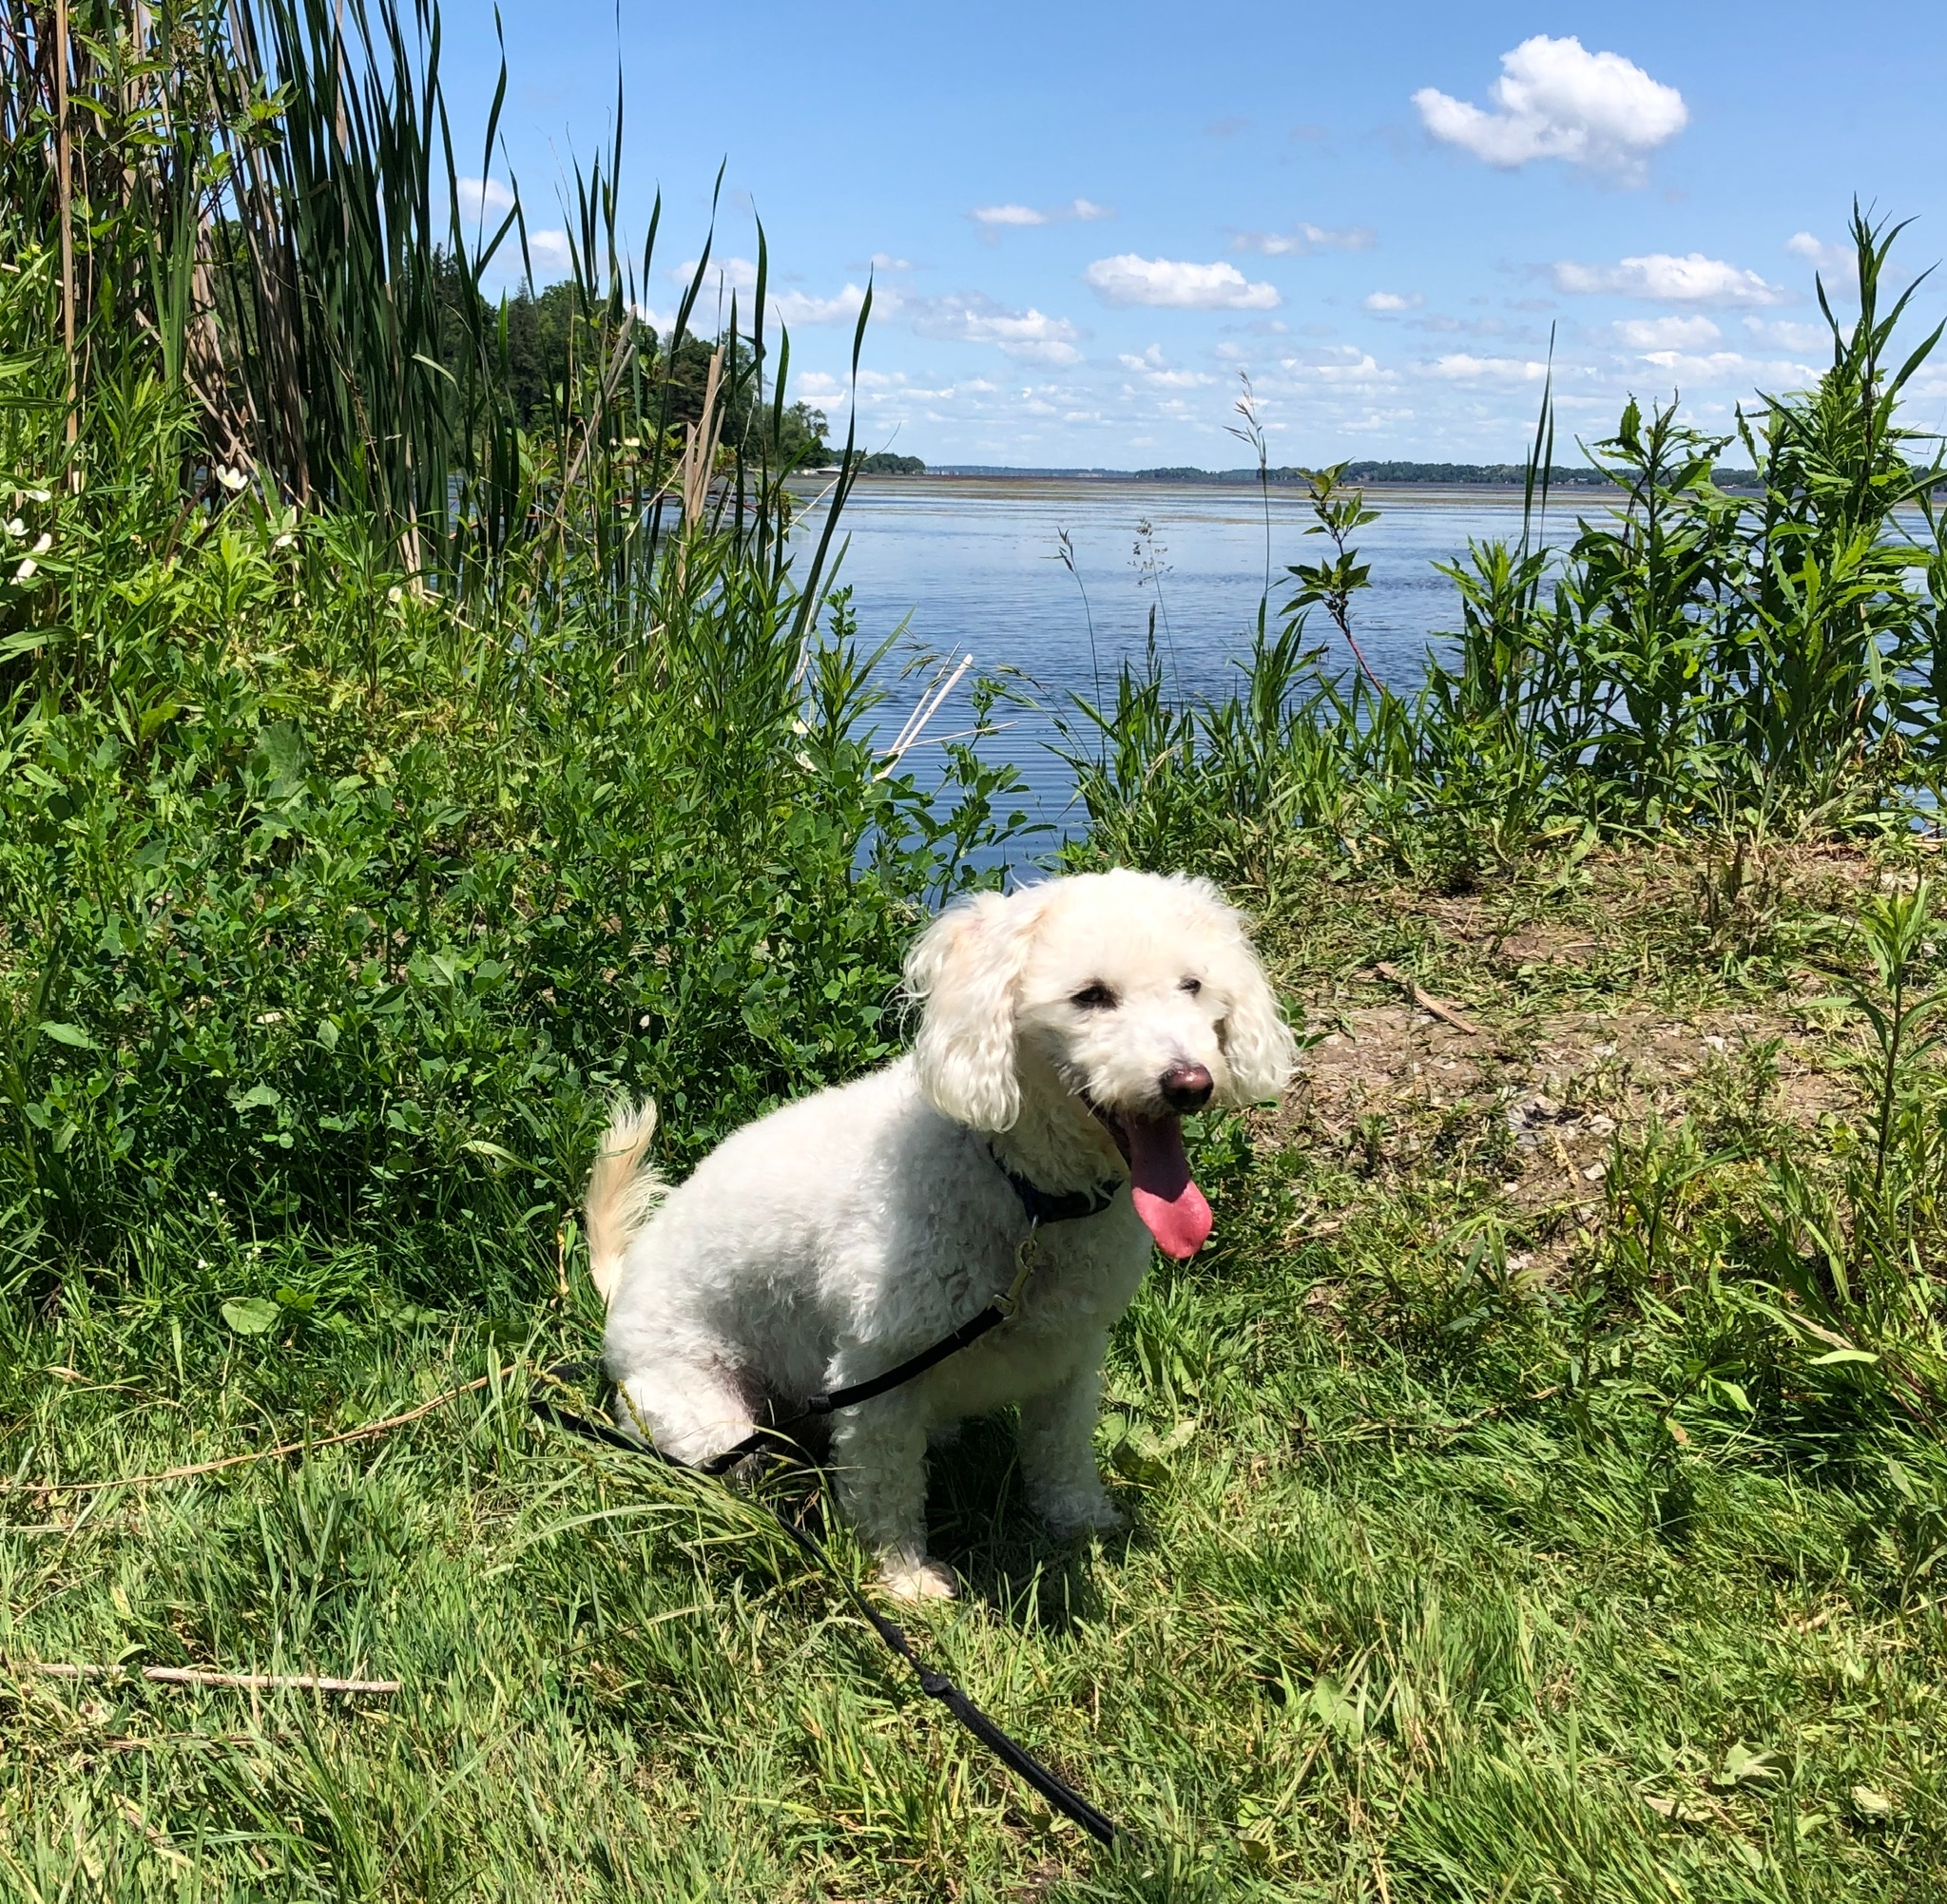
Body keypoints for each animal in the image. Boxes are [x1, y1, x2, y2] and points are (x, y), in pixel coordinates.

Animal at [588, 868, 1295, 1599]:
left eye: (1193, 985)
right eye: (1091, 996)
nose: (1190, 1083)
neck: (1026, 1195)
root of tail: (620, 1292)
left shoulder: (1072, 1353)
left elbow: (1062, 1450)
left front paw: (1079, 1521)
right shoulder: (879, 1371)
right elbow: (886, 1486)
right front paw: (906, 1581)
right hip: (711, 1420)